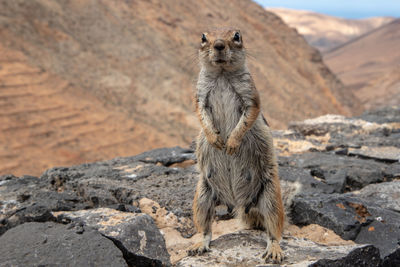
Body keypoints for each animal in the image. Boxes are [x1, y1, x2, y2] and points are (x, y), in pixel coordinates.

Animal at [188, 28, 284, 264]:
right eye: (203, 37)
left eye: (237, 36)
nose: (219, 45)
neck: (222, 74)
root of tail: (239, 203)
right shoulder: (200, 96)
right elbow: (201, 114)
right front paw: (215, 139)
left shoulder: (250, 95)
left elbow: (248, 116)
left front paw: (231, 143)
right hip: (202, 196)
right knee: (205, 228)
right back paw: (199, 244)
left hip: (271, 197)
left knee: (274, 230)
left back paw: (274, 250)